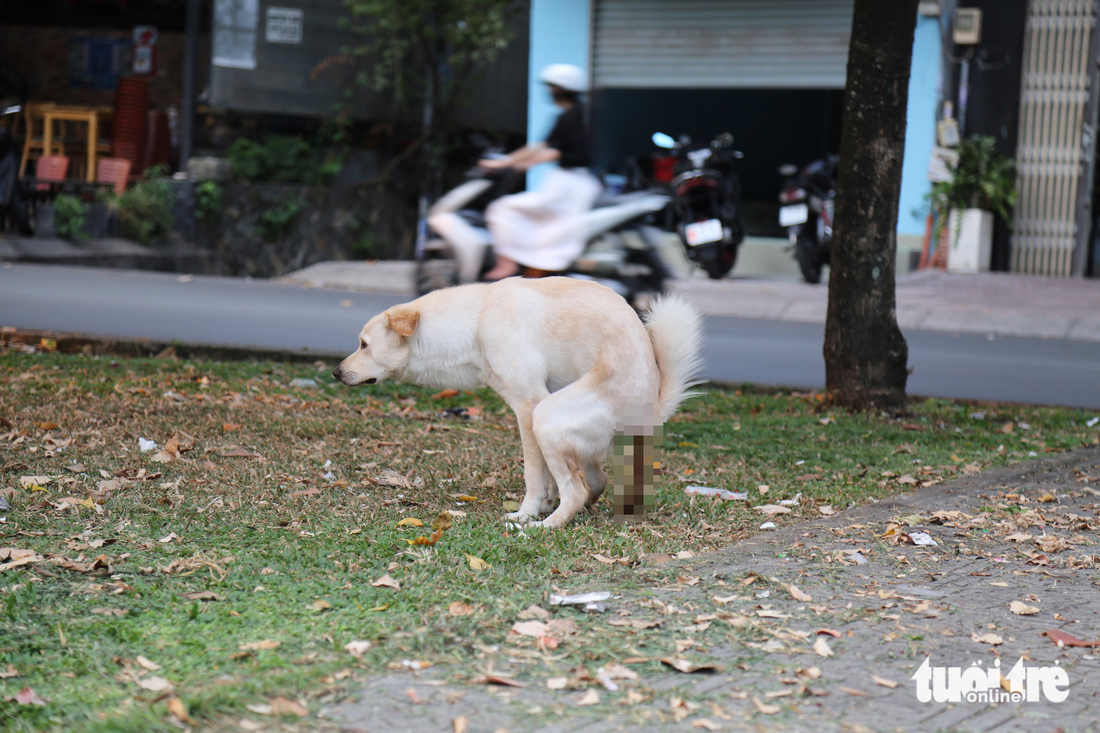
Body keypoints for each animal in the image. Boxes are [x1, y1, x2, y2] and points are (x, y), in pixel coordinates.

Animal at [330, 275, 699, 526]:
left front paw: (526, 513)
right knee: (595, 483)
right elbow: (546, 479)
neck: (475, 323)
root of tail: (652, 406)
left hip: (546, 418)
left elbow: (533, 476)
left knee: (577, 490)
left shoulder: (528, 406)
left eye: (363, 344)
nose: (335, 372)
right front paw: (544, 503)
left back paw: (546, 526)